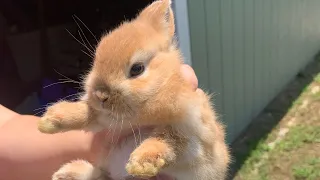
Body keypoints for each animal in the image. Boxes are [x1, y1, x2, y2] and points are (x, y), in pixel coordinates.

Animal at [38, 0, 230, 179]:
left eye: (137, 69)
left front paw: (141, 164)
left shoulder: (192, 133)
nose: (100, 95)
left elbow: (166, 141)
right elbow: (88, 113)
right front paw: (50, 120)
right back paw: (66, 174)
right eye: (96, 61)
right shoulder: (104, 119)